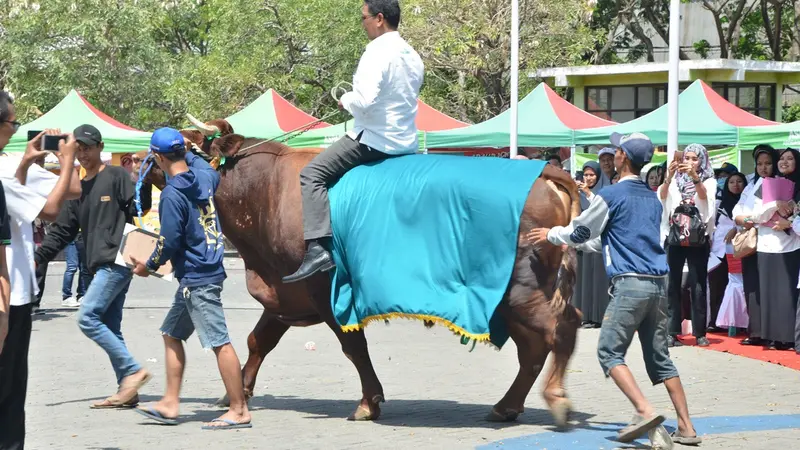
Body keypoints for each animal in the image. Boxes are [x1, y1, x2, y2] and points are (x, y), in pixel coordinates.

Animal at [142, 117, 580, 426]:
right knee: (537, 346)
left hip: (521, 290)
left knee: (559, 329)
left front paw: (369, 403)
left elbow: (353, 346)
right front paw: (239, 392)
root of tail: (543, 171)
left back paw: (556, 399)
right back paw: (508, 406)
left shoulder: (325, 289)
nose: (142, 160)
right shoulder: (284, 295)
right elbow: (257, 342)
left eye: (186, 142)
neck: (267, 192)